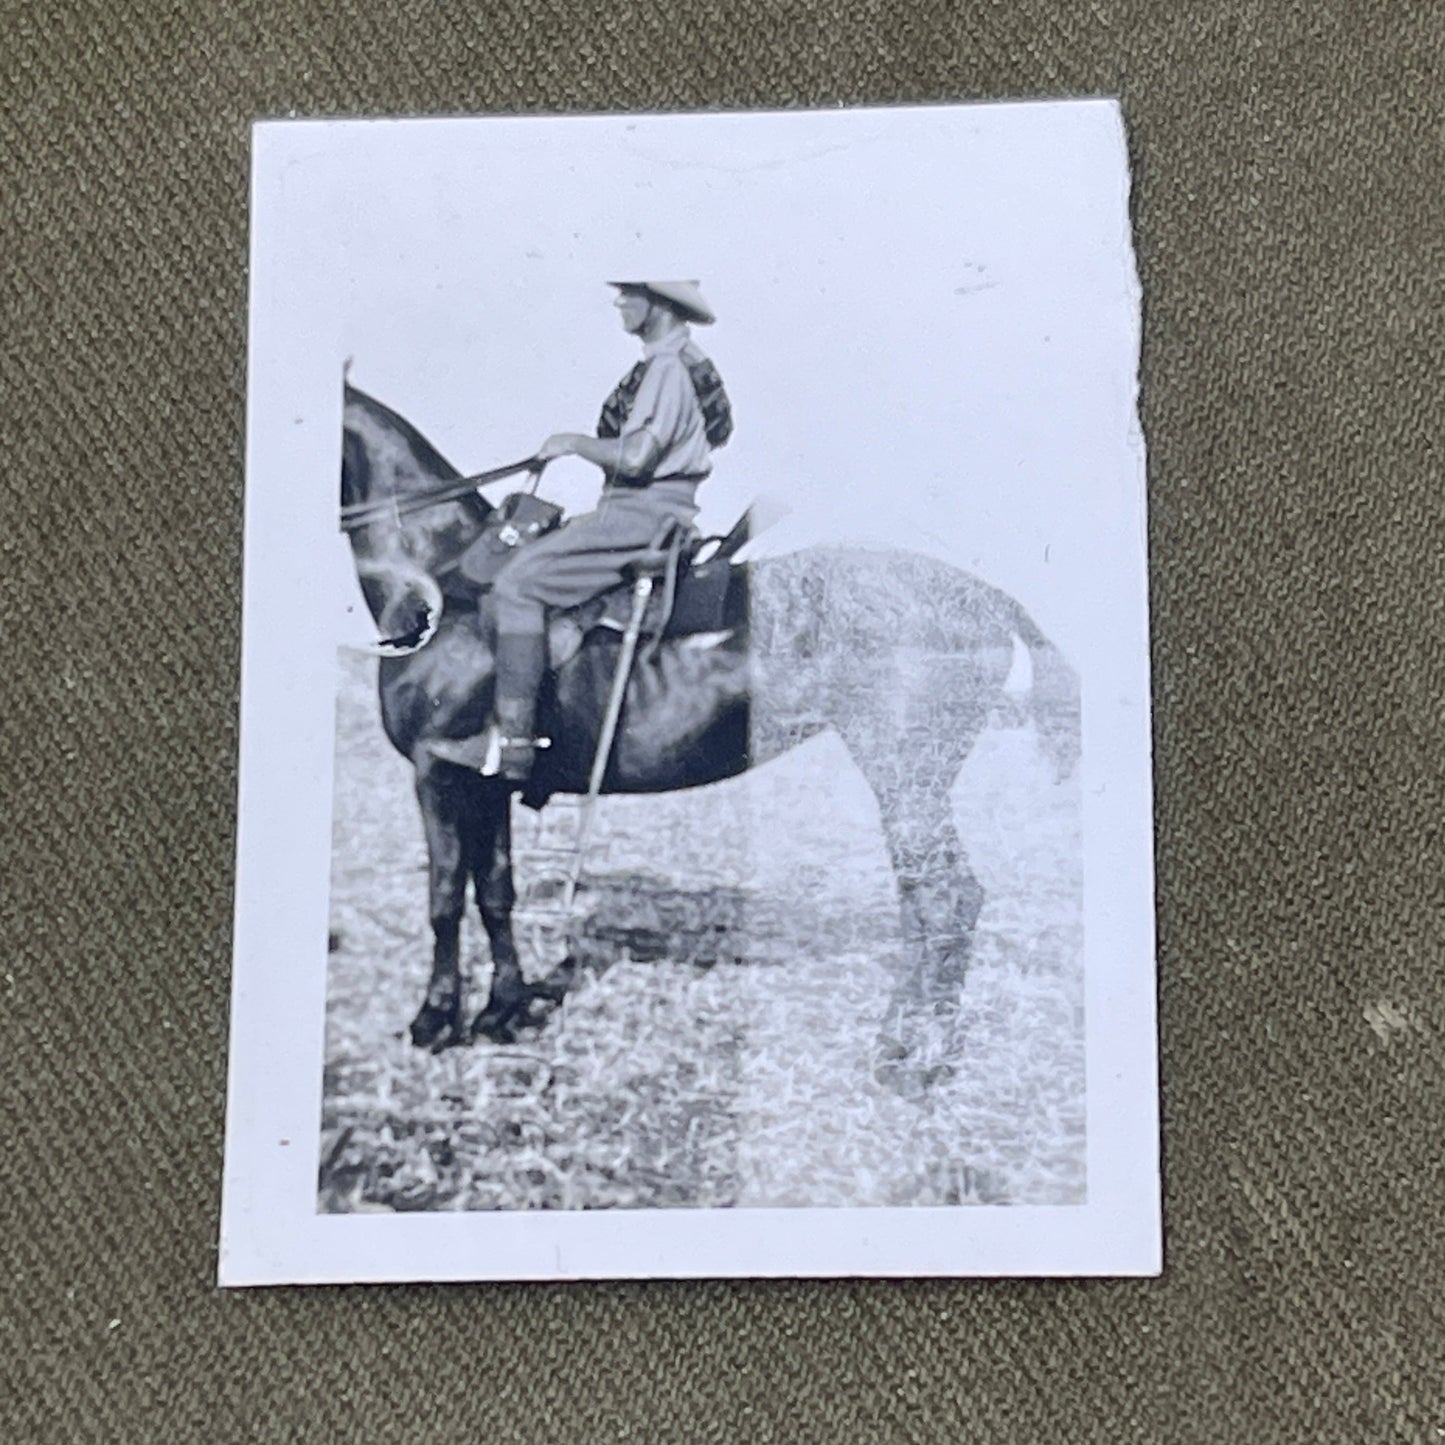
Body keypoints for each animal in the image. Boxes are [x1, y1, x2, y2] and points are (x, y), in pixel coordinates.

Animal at [341, 384, 1086, 1086]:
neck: (439, 581)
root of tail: (983, 596)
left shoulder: (436, 774)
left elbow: (443, 899)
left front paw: (434, 1019)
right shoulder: (485, 782)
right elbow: (494, 893)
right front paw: (503, 1009)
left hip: (907, 776)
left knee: (946, 897)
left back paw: (920, 1062)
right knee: (922, 901)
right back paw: (899, 1042)